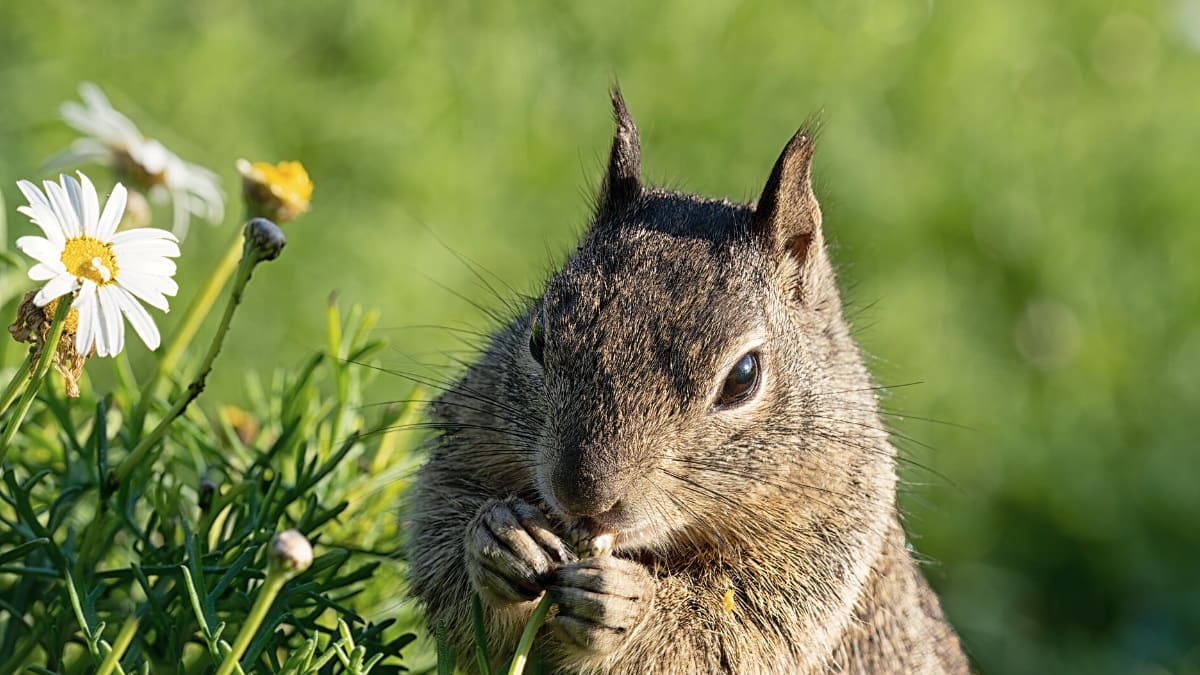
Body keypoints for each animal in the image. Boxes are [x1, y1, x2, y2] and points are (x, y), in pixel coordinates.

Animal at [408, 90, 969, 672]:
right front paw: (498, 539)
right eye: (539, 333)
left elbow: (722, 637)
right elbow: (439, 541)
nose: (582, 496)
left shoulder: (826, 548)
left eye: (744, 377)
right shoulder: (471, 435)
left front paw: (628, 604)